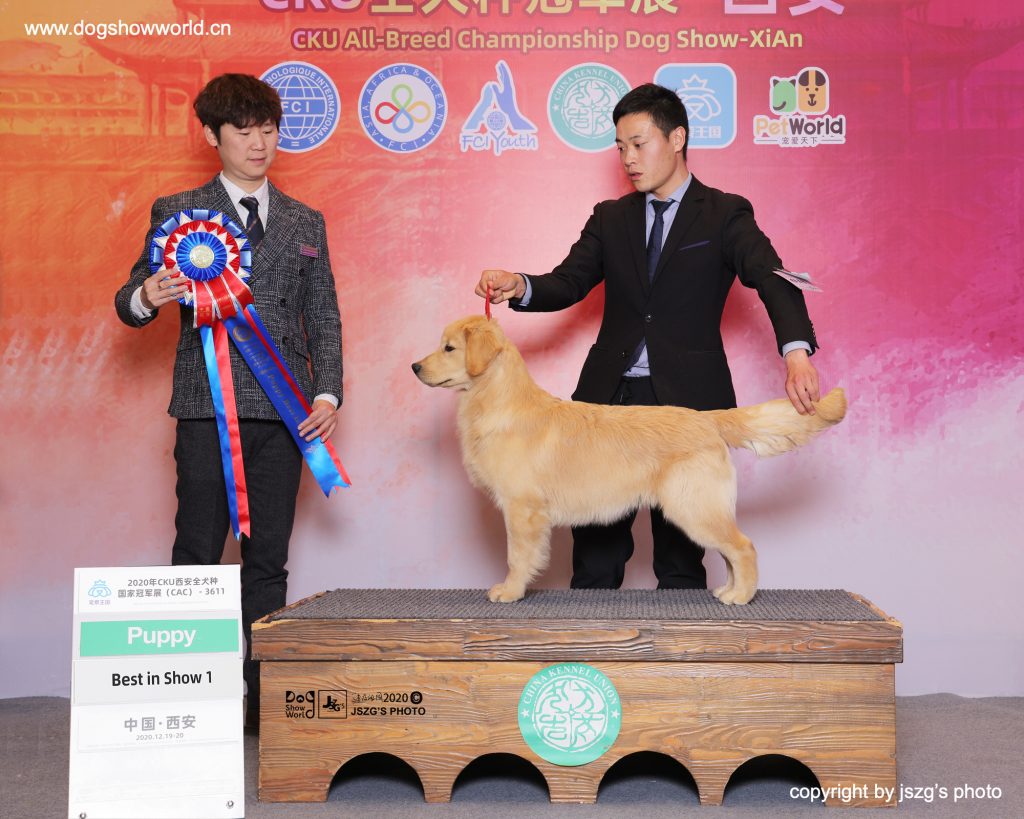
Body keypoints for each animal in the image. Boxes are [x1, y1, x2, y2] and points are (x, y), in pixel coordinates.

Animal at [412, 316, 846, 605]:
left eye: (449, 348)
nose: (415, 366)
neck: (498, 400)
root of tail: (707, 418)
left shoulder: (523, 509)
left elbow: (517, 555)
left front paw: (510, 591)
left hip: (693, 506)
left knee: (744, 546)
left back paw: (741, 596)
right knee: (730, 551)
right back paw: (729, 589)